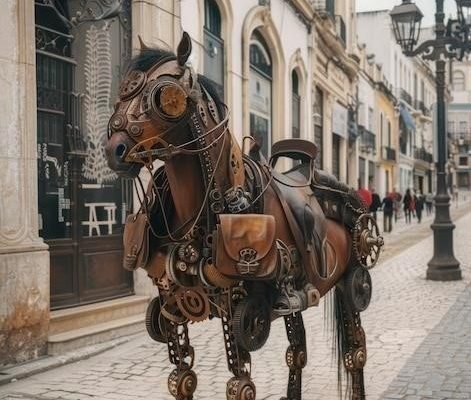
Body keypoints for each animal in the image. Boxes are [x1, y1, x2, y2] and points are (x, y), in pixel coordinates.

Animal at [104, 32, 384, 400]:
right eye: (123, 91)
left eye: (162, 93)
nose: (114, 150)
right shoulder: (173, 311)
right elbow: (182, 379)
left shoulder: (239, 312)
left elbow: (240, 386)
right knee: (297, 352)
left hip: (351, 281)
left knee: (355, 350)